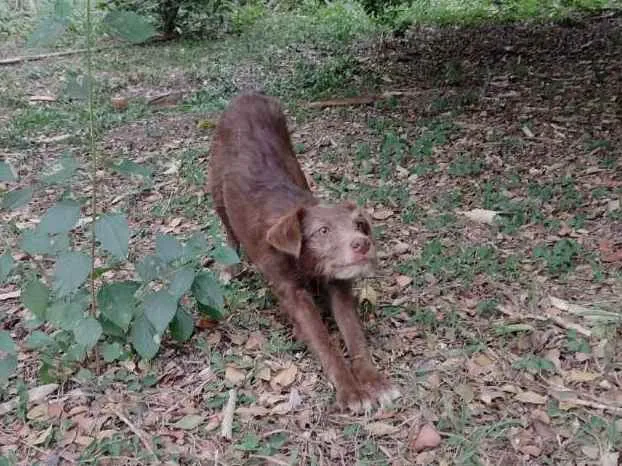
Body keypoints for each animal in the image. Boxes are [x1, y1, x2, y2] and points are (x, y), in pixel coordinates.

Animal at [207, 92, 400, 412]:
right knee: (229, 230)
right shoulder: (292, 292)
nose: (363, 244)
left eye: (359, 225)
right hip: (216, 186)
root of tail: (249, 95)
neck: (306, 263)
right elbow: (324, 341)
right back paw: (229, 267)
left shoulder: (339, 284)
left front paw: (375, 382)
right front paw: (352, 392)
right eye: (322, 231)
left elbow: (354, 334)